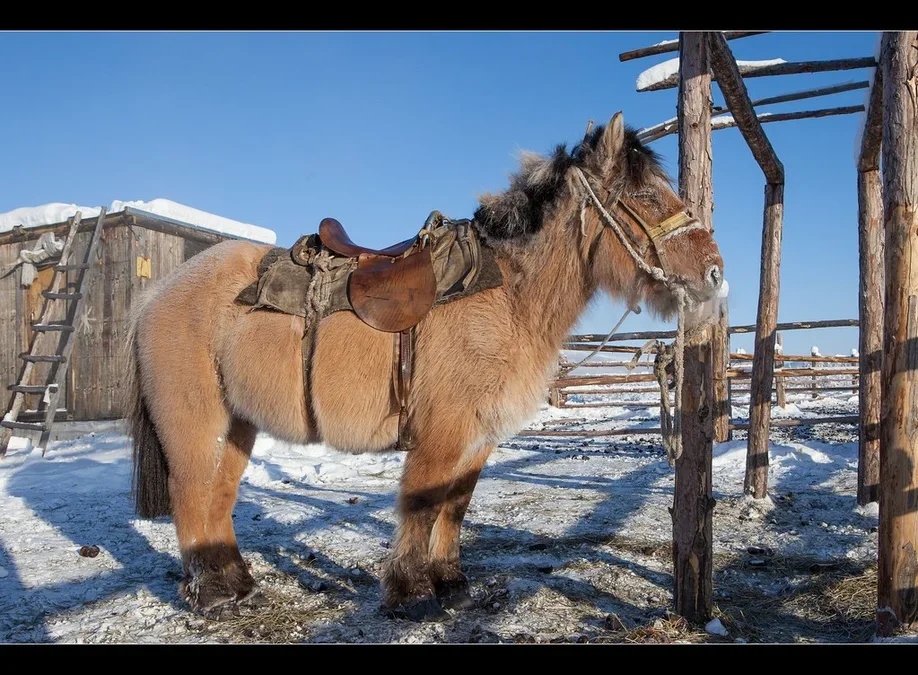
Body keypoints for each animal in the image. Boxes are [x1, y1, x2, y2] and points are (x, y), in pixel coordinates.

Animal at [126, 112, 724, 624]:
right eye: (644, 195)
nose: (715, 274)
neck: (506, 294)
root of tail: (155, 294)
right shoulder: (441, 433)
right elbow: (421, 504)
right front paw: (411, 592)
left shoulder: (479, 437)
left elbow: (454, 507)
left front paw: (451, 583)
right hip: (193, 424)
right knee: (189, 496)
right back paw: (210, 596)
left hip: (237, 426)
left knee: (218, 500)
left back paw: (238, 584)